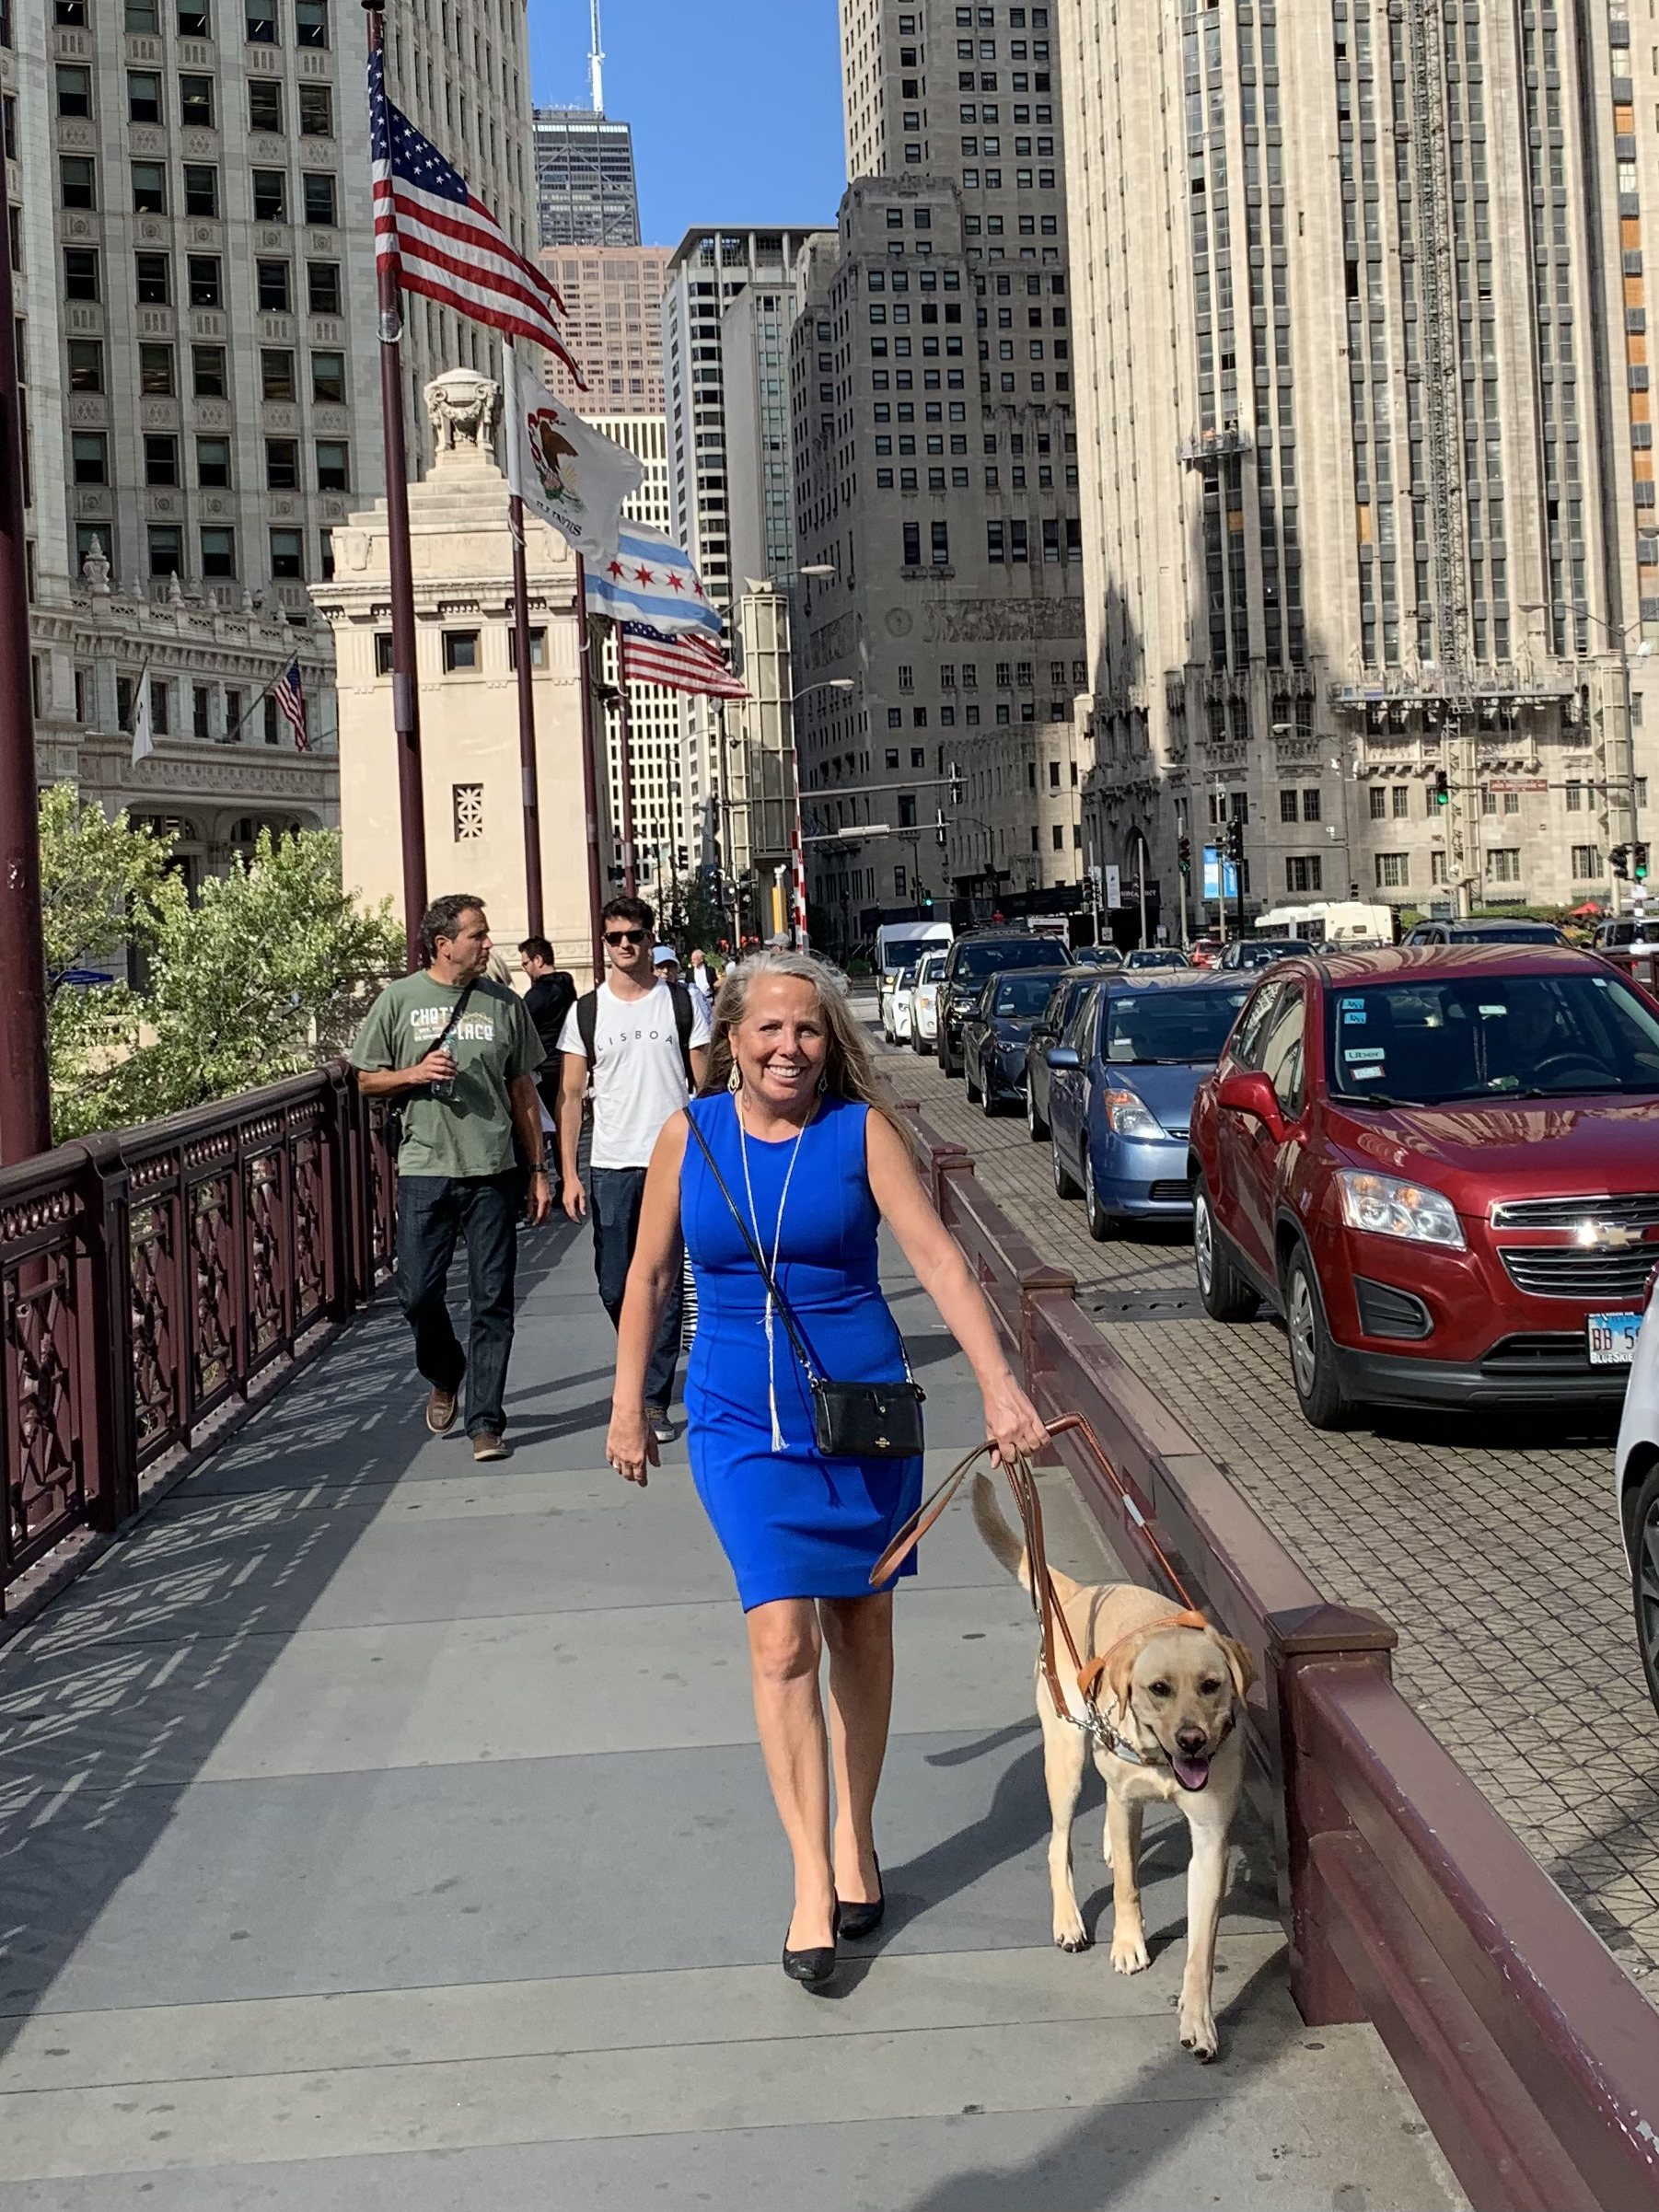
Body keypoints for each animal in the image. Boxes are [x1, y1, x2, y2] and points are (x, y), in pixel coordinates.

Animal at [969, 1468, 1256, 2052]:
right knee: (1058, 1844)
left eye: (1212, 1685)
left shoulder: (1210, 1840)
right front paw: (1128, 1944)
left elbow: (1202, 1947)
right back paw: (1069, 1920)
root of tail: (1082, 1593)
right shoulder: (1126, 1802)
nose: (1192, 1740)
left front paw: (1198, 2019)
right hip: (1065, 1758)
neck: (1161, 1762)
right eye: (1158, 1689)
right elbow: (1126, 1884)